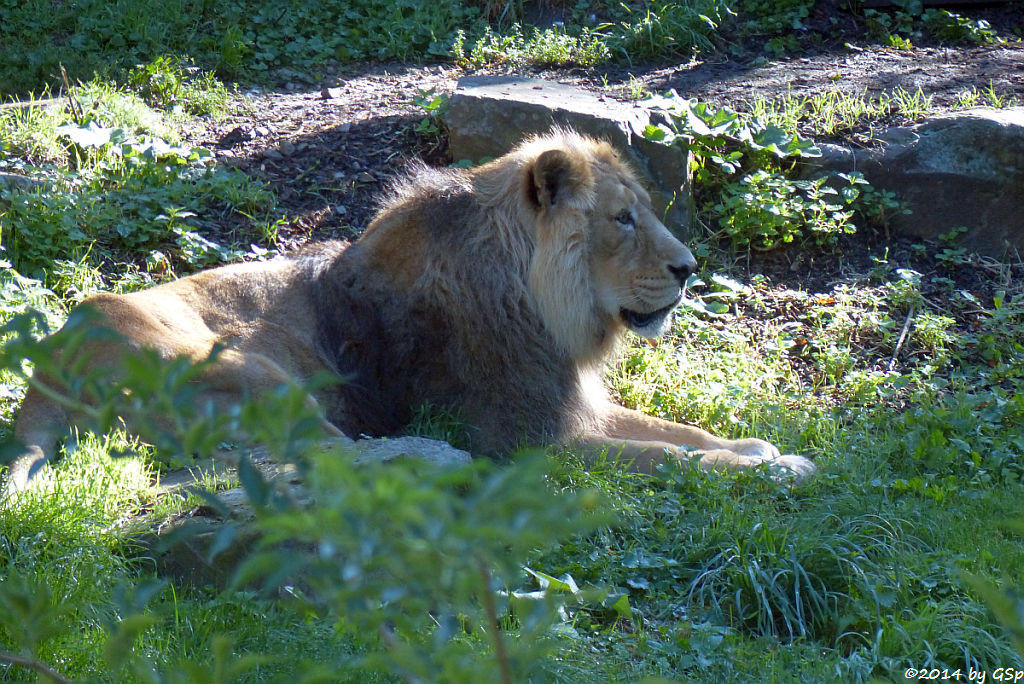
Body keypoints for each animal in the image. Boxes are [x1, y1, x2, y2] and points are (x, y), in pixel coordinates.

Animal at [4, 127, 811, 491]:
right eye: (623, 219)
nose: (689, 269)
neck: (540, 303)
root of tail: (49, 367)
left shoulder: (566, 402)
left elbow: (681, 432)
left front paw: (758, 448)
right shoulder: (521, 437)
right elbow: (658, 456)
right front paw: (775, 467)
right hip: (254, 374)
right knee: (333, 460)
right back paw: (422, 461)